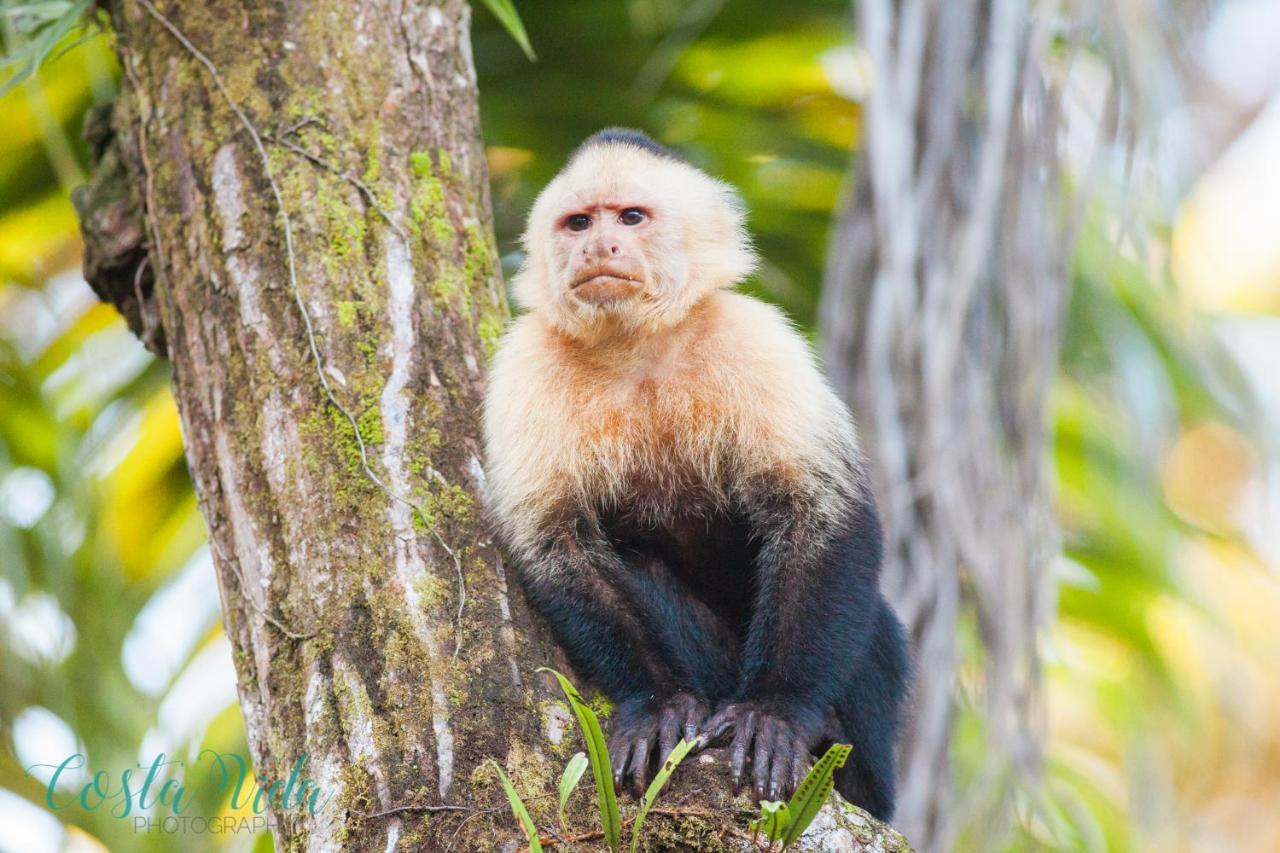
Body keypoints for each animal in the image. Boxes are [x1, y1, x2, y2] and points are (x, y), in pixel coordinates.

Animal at [481, 128, 911, 819]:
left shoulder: (755, 339)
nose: (599, 246)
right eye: (578, 223)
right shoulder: (526, 366)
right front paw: (658, 704)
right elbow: (557, 544)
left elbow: (820, 512)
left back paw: (848, 760)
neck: (636, 347)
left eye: (631, 217)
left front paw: (776, 714)